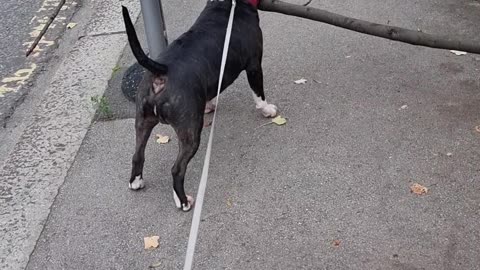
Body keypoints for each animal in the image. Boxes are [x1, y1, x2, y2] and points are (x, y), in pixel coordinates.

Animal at [122, 0, 278, 211]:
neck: (228, 4)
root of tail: (162, 72)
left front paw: (208, 105)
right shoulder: (254, 65)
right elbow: (259, 94)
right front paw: (267, 109)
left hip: (142, 121)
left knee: (137, 155)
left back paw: (136, 182)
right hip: (190, 133)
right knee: (177, 169)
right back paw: (183, 202)